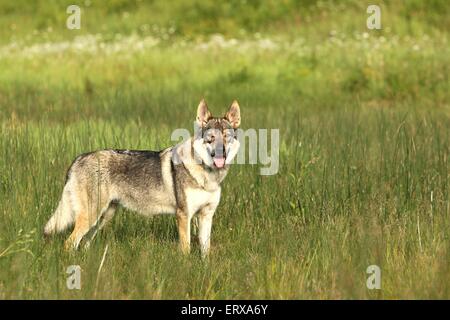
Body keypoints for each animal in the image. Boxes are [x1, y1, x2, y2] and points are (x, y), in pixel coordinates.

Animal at [44, 99, 243, 256]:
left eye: (226, 137)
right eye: (211, 138)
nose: (221, 151)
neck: (208, 175)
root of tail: (79, 158)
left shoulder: (206, 216)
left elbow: (205, 250)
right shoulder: (184, 215)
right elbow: (186, 249)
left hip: (103, 217)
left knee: (84, 243)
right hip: (92, 216)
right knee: (69, 243)